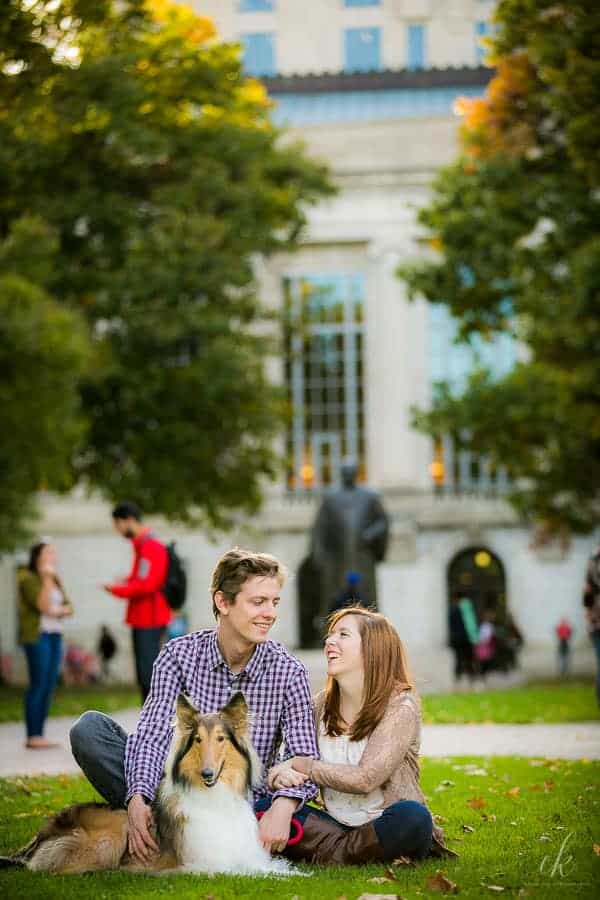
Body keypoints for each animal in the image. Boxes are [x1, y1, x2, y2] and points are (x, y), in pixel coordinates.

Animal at [2, 692, 288, 876]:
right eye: (197, 740)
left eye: (221, 739)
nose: (207, 774)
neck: (215, 796)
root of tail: (41, 835)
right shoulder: (208, 863)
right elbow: (249, 872)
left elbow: (278, 870)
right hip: (114, 830)